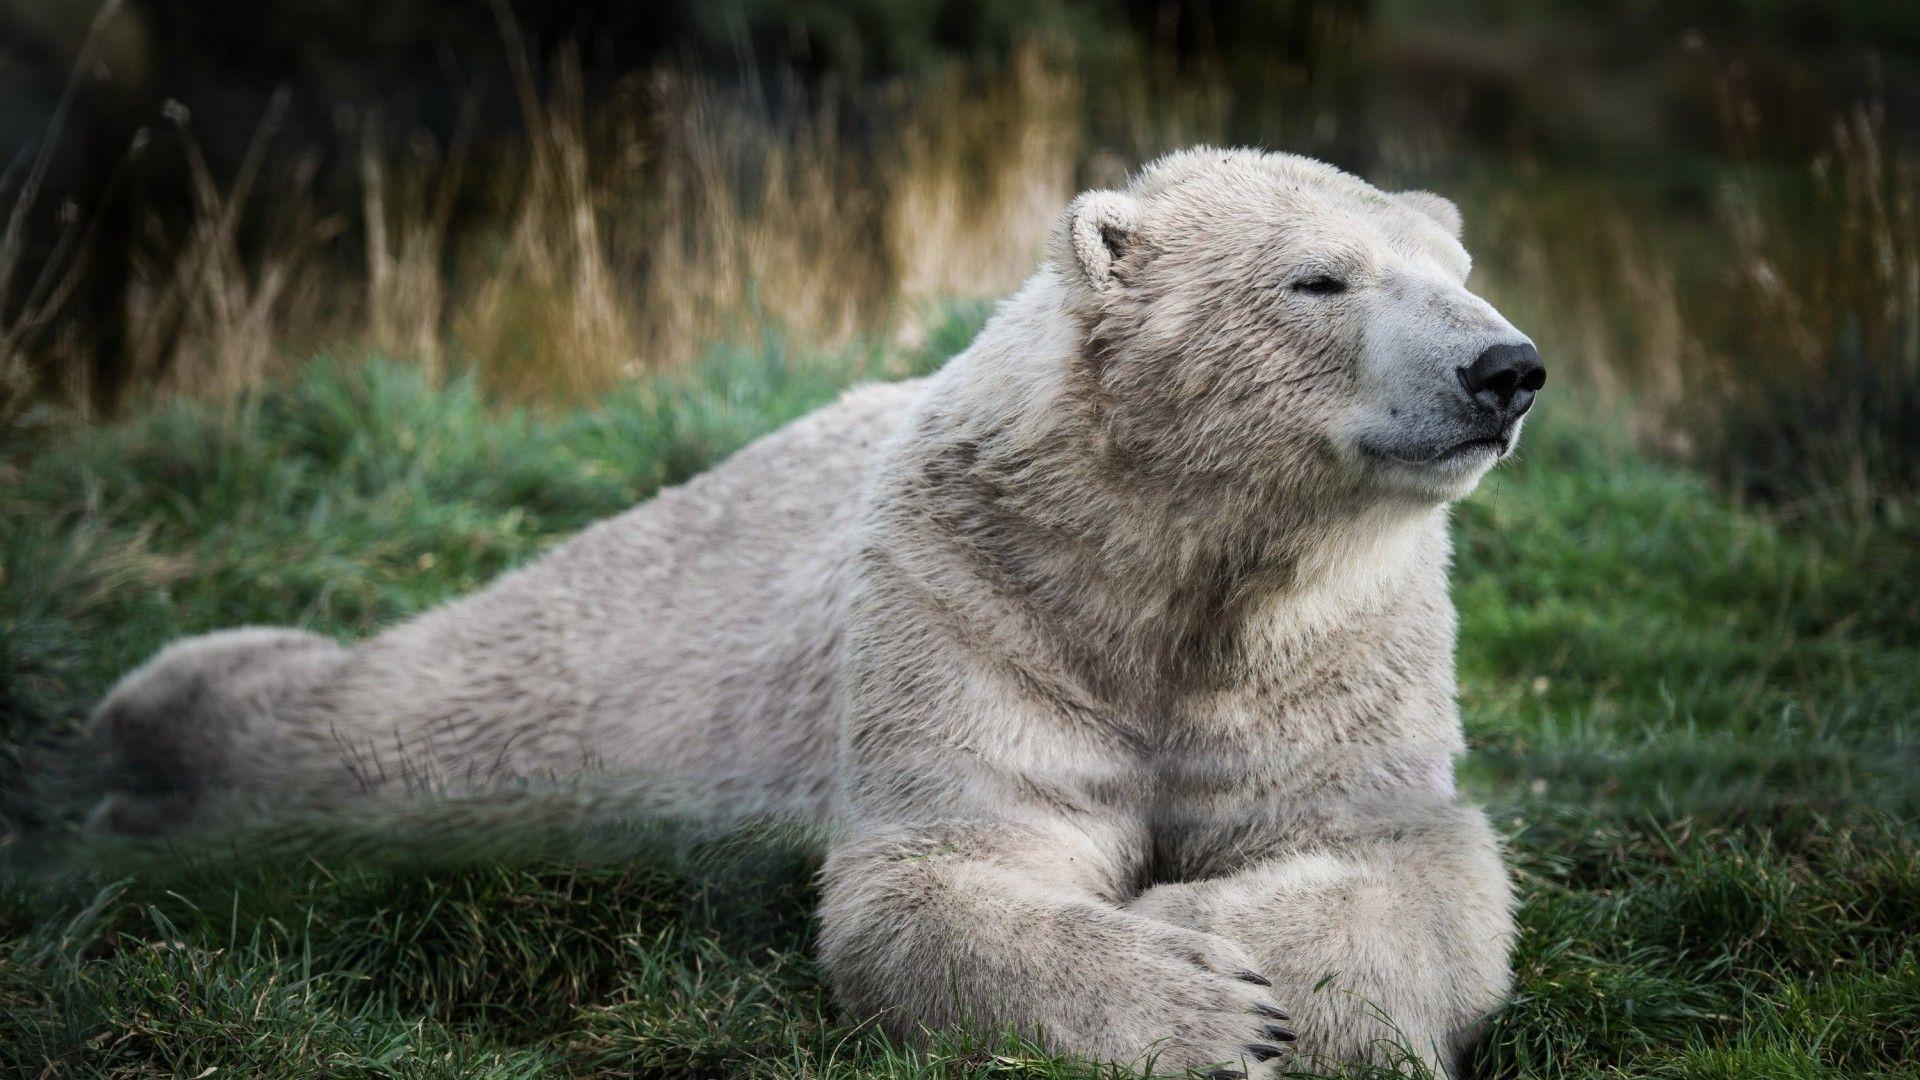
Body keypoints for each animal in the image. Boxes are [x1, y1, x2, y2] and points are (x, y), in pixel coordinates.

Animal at [87, 147, 1544, 1077]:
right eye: (1321, 280)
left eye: (1458, 266)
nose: (1507, 365)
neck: (1166, 559)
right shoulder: (976, 598)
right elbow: (939, 869)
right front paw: (1200, 1002)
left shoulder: (1335, 647)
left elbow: (1409, 862)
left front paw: (1219, 936)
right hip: (618, 655)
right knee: (408, 723)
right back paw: (160, 720)